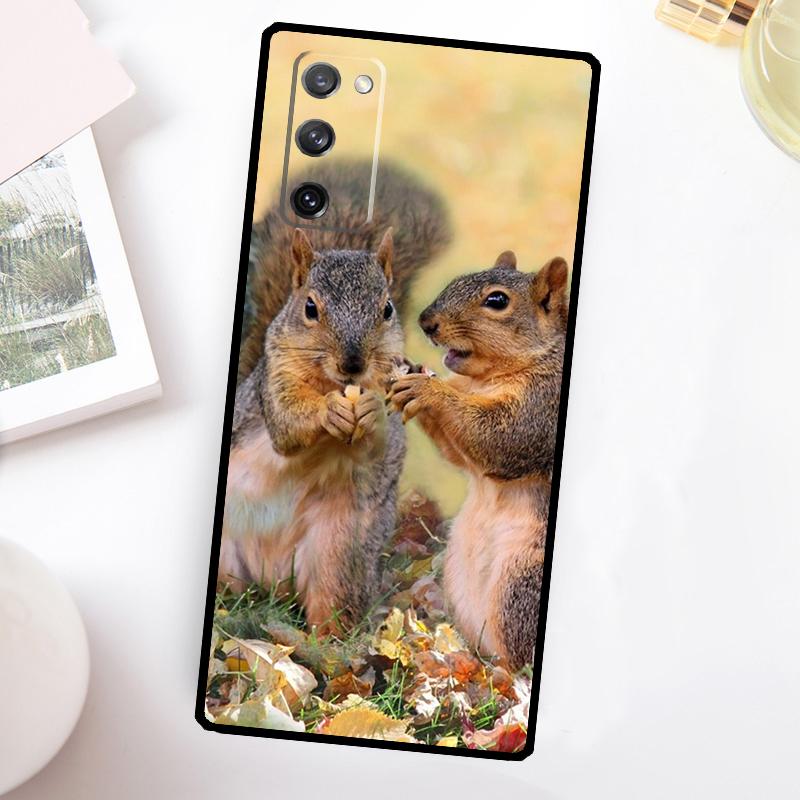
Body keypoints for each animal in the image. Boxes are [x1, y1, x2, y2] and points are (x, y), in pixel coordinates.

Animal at [219, 160, 450, 632]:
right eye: (310, 308)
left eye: (386, 309)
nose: (353, 364)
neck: (332, 383)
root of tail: (271, 580)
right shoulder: (274, 380)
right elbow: (287, 425)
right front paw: (328, 413)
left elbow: (379, 444)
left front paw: (369, 412)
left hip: (340, 548)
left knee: (332, 605)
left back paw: (325, 640)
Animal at [388, 249, 568, 668]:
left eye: (497, 300)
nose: (426, 322)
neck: (485, 381)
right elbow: (461, 454)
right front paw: (414, 374)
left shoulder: (542, 408)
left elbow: (501, 439)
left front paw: (429, 390)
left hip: (519, 583)